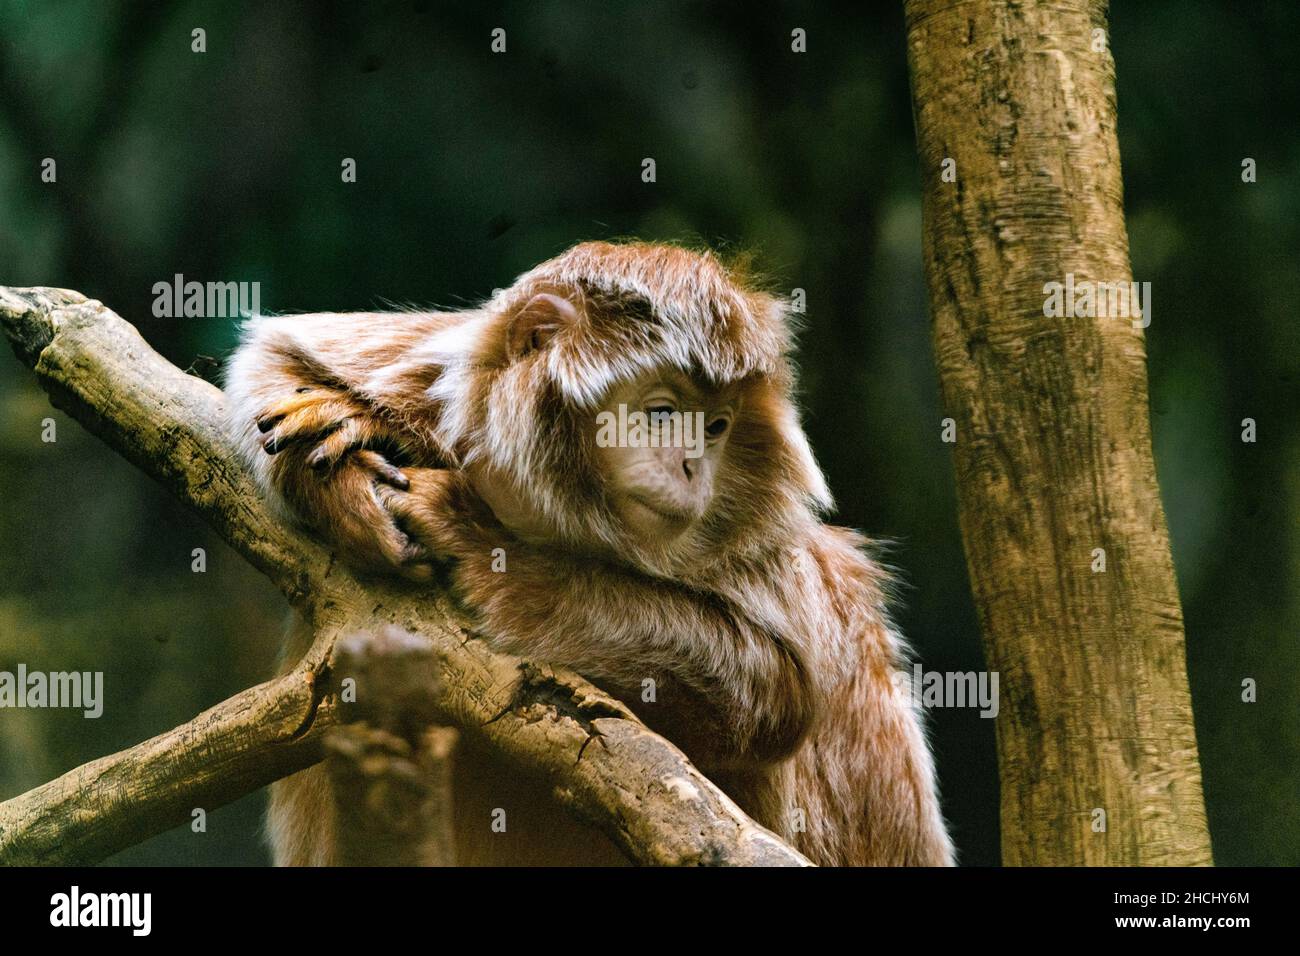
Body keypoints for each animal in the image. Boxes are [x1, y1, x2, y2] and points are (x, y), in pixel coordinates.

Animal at [223, 240, 956, 868]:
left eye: (717, 427)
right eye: (663, 413)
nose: (693, 466)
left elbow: (776, 690)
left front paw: (473, 537)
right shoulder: (436, 374)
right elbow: (267, 355)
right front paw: (347, 484)